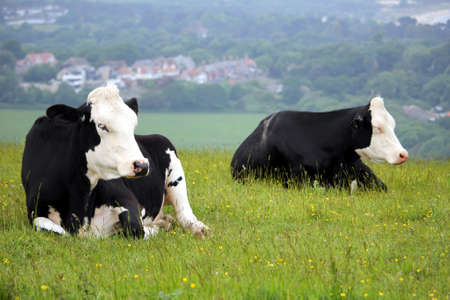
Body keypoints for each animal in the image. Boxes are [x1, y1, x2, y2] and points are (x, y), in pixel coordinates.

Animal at [22, 84, 149, 234]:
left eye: (133, 125)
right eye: (101, 126)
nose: (142, 165)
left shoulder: (128, 199)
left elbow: (135, 226)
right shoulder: (34, 210)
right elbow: (56, 230)